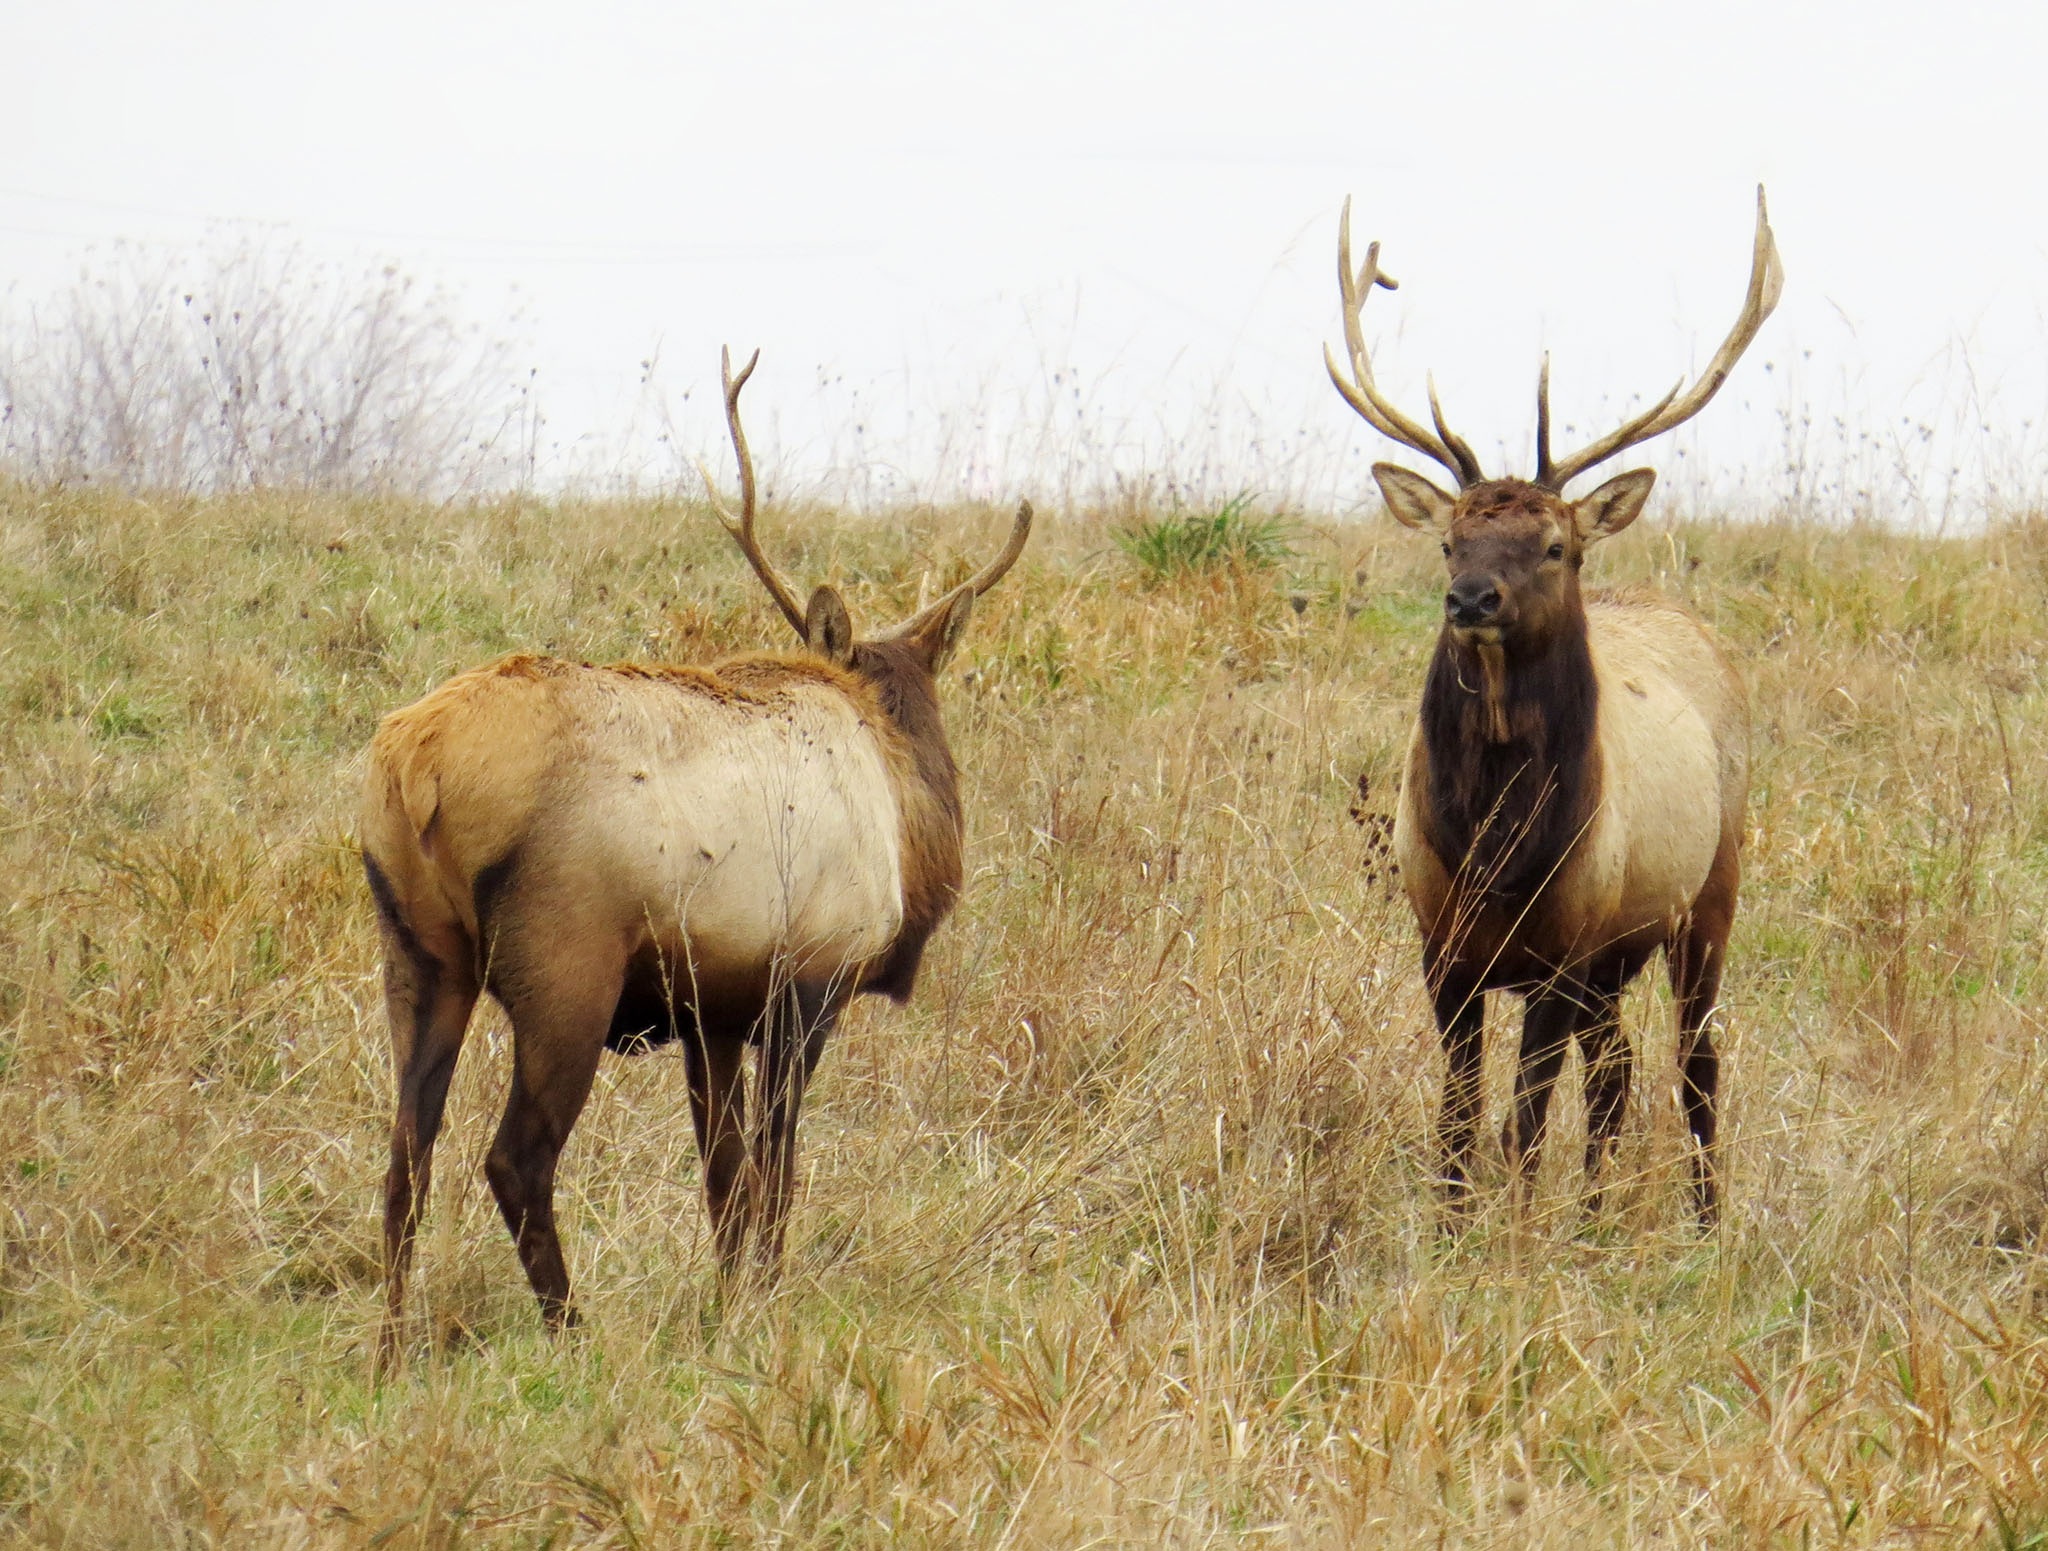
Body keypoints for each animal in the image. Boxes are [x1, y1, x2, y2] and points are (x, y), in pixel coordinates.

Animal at [362, 350, 1032, 1352]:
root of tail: (416, 765)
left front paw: (728, 1300)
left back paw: (391, 1346)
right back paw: (573, 1329)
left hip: (419, 955)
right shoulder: (808, 982)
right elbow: (776, 1165)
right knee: (515, 1157)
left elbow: (722, 1173)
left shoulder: (711, 1006)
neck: (899, 810)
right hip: (564, 966)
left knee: (406, 1153)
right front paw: (767, 1294)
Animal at [1327, 187, 1777, 1221]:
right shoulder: (1445, 944)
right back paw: (1595, 1215)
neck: (1496, 847)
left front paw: (1512, 1227)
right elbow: (1460, 1115)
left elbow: (1524, 1121)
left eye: (1554, 545)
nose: (1471, 600)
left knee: (1695, 1062)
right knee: (1615, 1071)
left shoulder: (1564, 947)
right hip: (1620, 950)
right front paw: (1455, 1223)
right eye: (1449, 540)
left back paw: (1704, 1220)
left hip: (1709, 891)